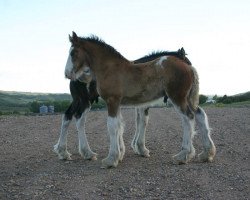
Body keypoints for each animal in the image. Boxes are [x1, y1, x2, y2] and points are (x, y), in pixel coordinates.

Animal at [53, 49, 190, 160]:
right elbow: (143, 121)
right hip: (86, 100)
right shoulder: (143, 105)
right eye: (187, 62)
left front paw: (134, 147)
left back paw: (63, 151)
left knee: (67, 115)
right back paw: (87, 152)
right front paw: (141, 149)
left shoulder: (137, 104)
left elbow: (137, 121)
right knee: (79, 119)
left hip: (78, 99)